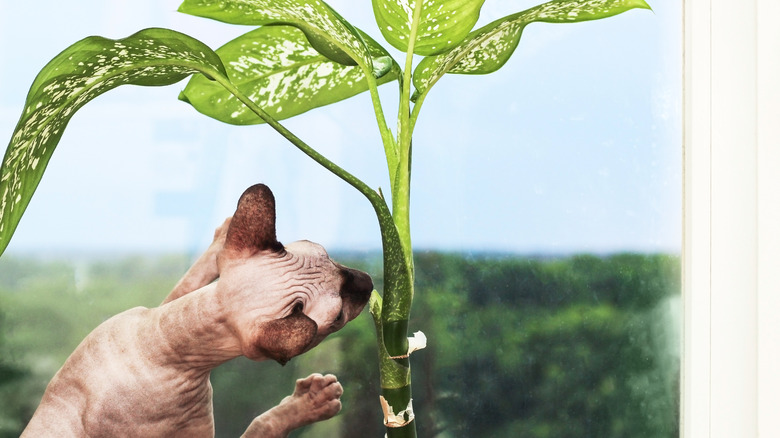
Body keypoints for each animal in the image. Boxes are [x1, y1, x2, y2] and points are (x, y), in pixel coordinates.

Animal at [21, 183, 374, 436]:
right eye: (339, 316)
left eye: (329, 257)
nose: (369, 283)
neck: (161, 345)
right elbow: (261, 423)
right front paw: (311, 402)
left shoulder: (153, 314)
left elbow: (186, 285)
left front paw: (222, 238)